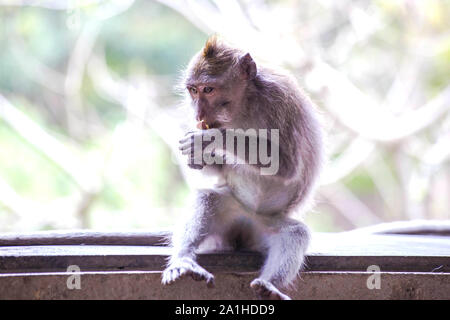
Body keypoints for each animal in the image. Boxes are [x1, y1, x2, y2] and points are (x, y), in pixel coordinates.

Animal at [161, 36, 324, 302]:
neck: (243, 105)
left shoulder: (281, 101)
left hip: (266, 224)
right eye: (193, 90)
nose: (198, 113)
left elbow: (286, 164)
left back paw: (269, 286)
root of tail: (246, 226)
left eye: (208, 89)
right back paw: (183, 259)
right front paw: (196, 155)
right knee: (208, 199)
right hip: (233, 209)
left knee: (294, 234)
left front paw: (210, 139)